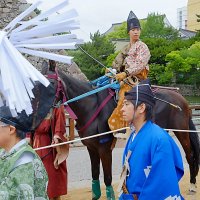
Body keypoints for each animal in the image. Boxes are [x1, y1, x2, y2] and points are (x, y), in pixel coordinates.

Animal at [44, 65, 199, 198]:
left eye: (51, 83)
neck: (91, 106)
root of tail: (182, 100)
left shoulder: (104, 147)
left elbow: (107, 177)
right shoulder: (91, 147)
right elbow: (95, 173)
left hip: (181, 130)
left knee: (190, 155)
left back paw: (192, 185)